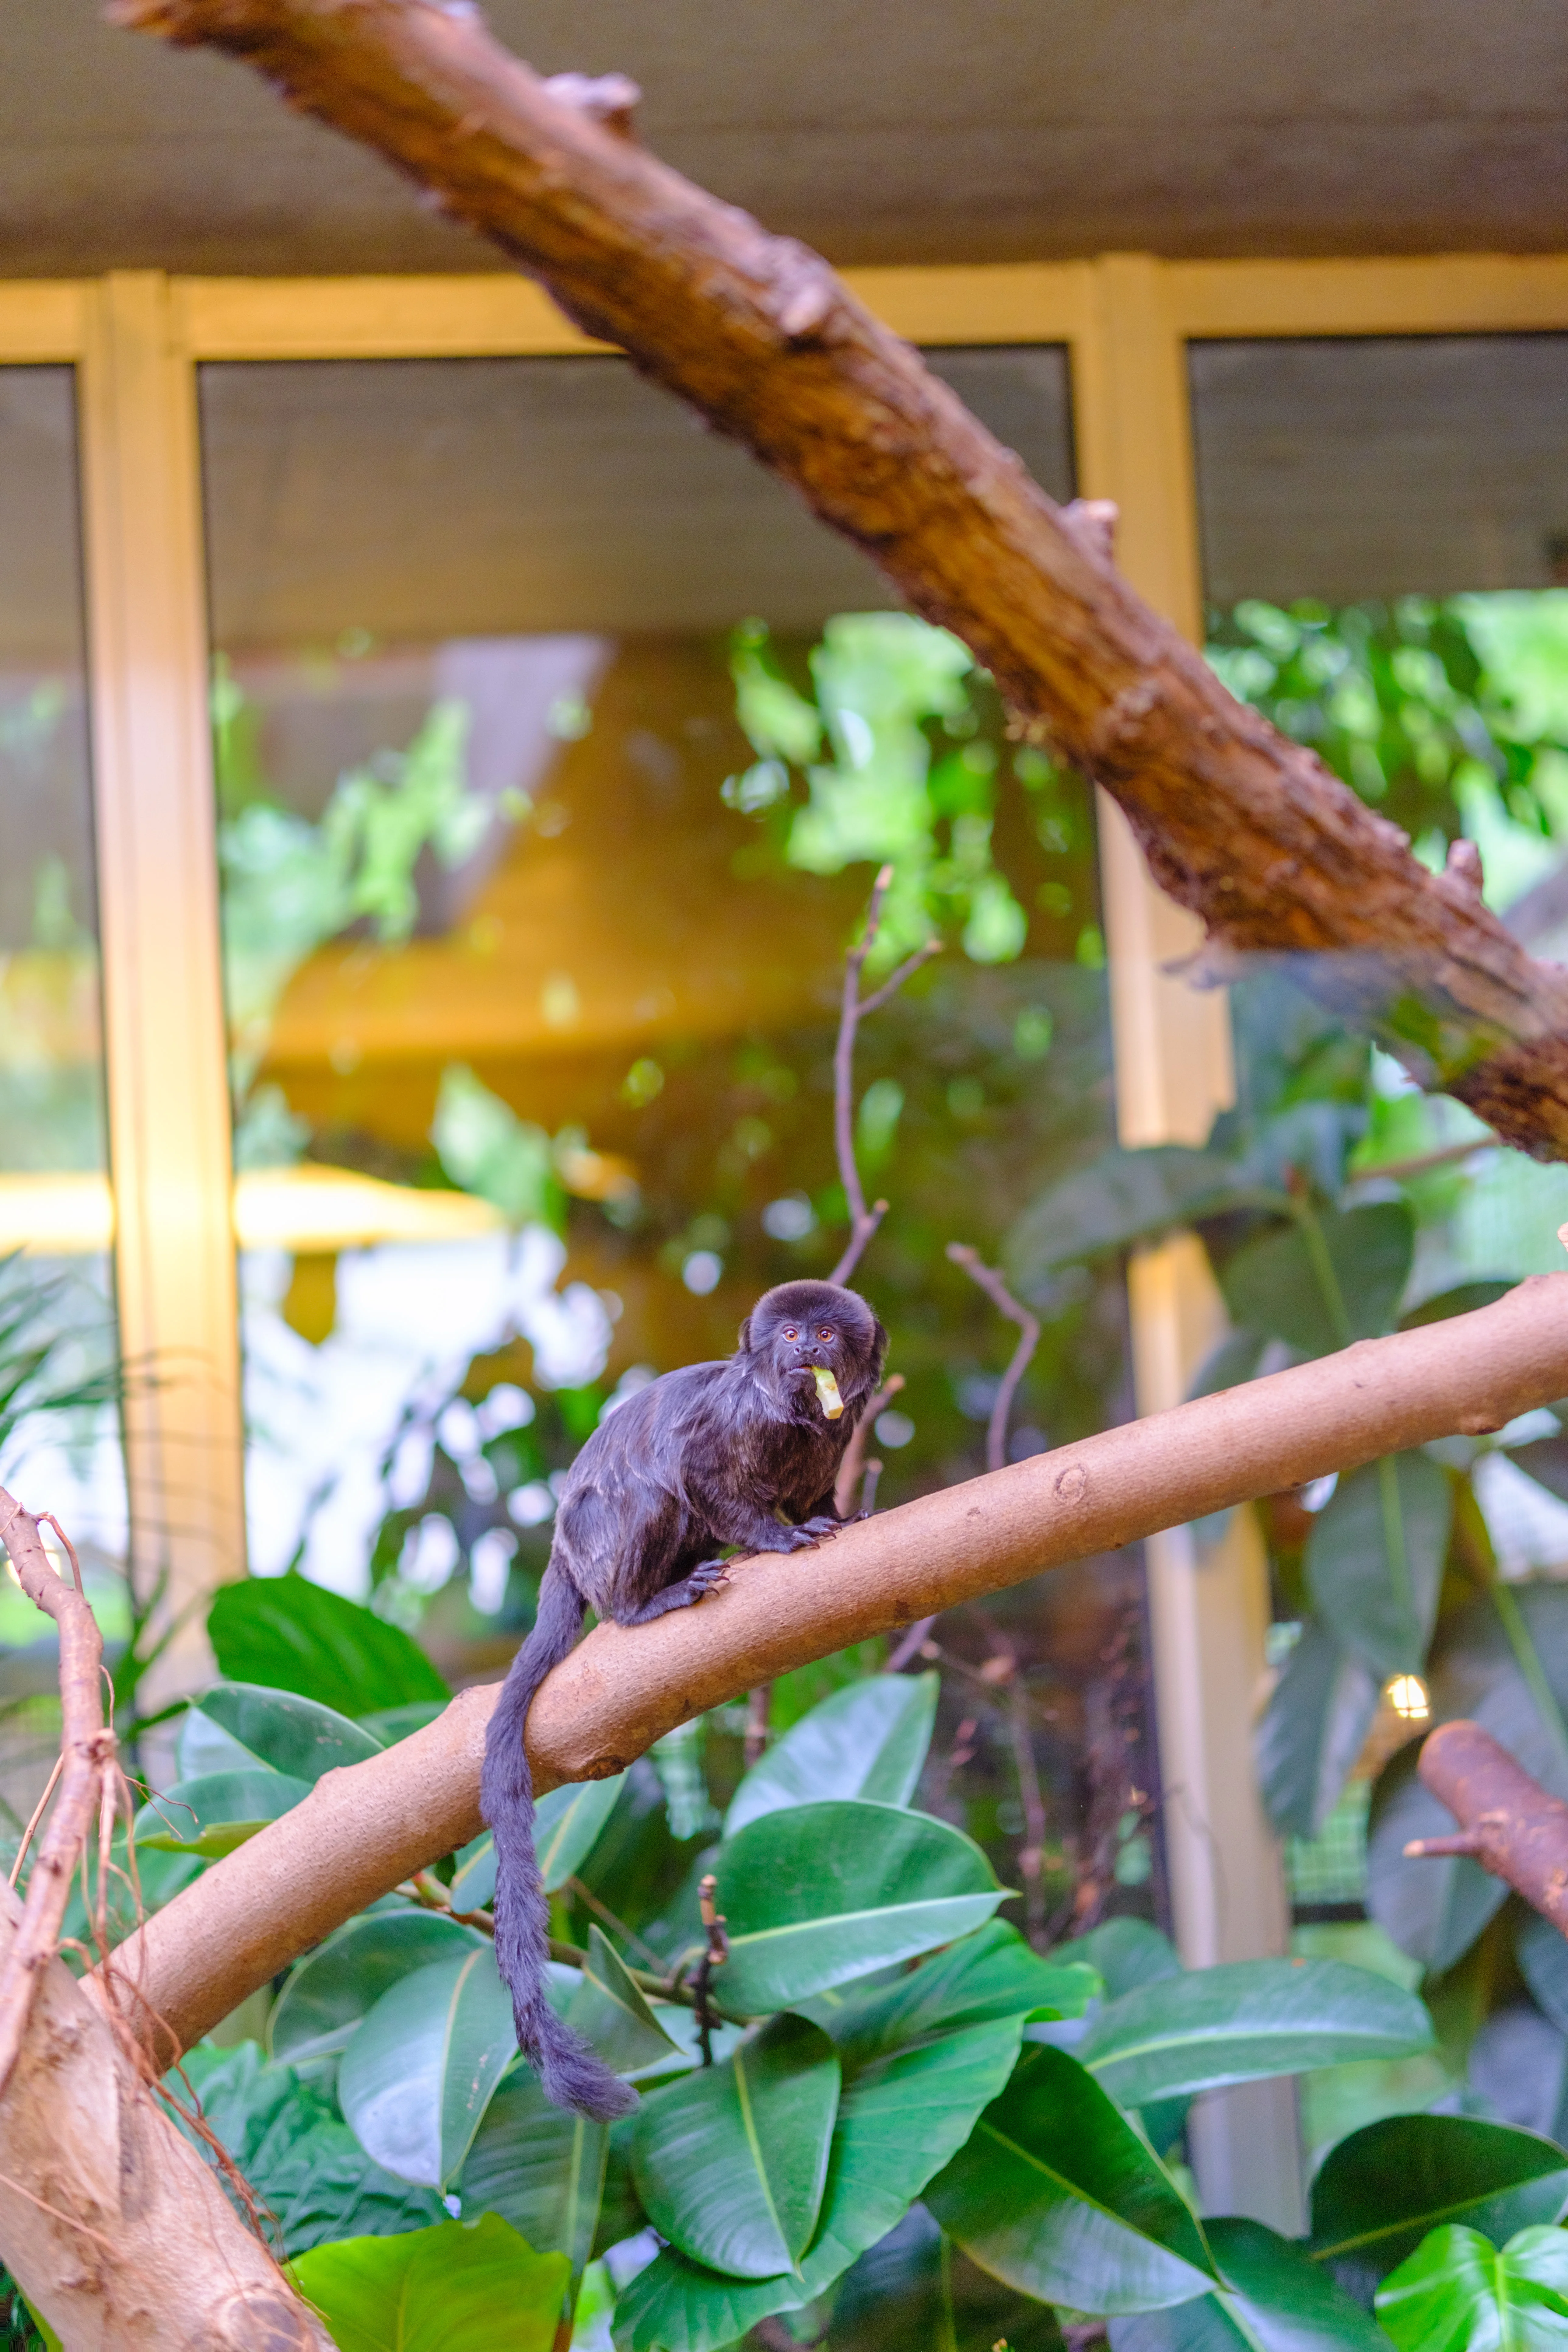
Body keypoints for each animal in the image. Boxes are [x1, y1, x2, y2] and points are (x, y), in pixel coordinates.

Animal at [480, 1279, 888, 2121]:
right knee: (650, 1493)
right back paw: (647, 1603)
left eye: (827, 1336)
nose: (806, 1352)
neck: (795, 1412)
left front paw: (836, 1517)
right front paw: (777, 1538)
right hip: (603, 1545)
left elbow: (818, 1489)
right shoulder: (733, 1424)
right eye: (790, 1335)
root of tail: (564, 1550)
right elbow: (697, 1474)